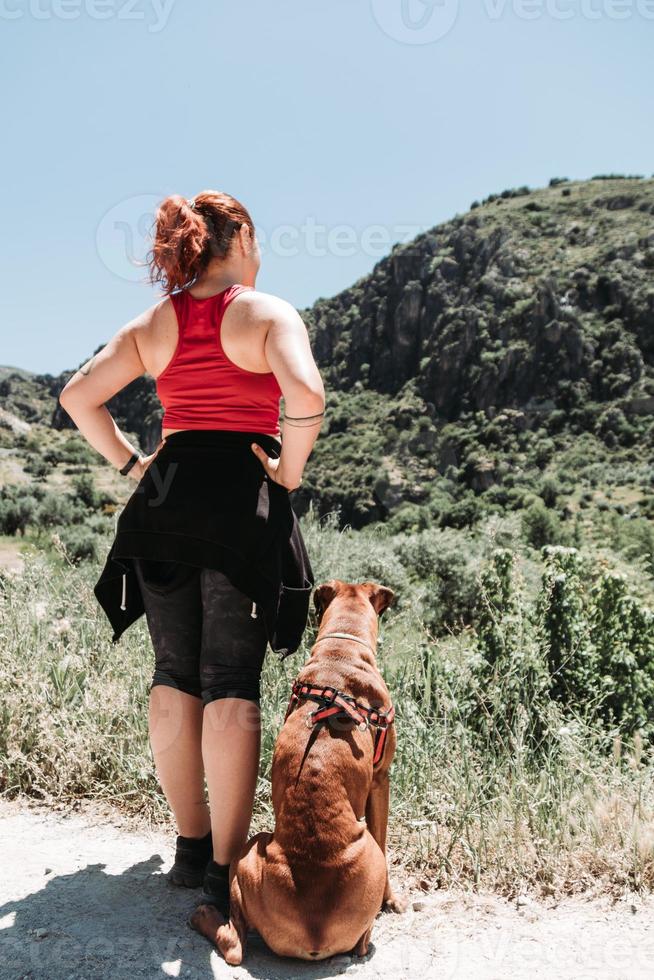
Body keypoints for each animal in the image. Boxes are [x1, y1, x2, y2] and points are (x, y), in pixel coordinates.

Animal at [190, 580, 408, 960]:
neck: (343, 649)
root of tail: (313, 929)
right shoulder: (382, 780)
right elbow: (384, 839)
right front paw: (391, 900)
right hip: (250, 852)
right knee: (234, 946)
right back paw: (205, 915)